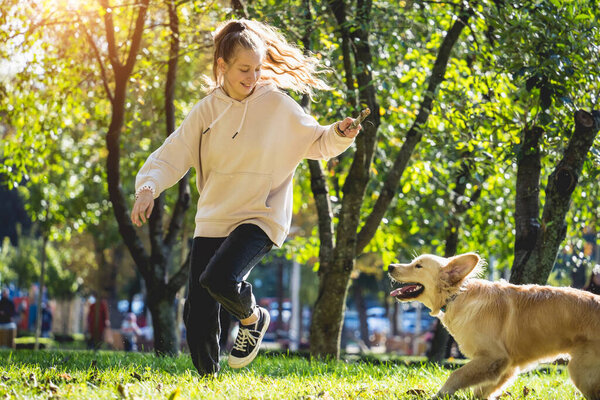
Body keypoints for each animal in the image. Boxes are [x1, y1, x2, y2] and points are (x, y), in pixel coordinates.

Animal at [386, 253, 600, 400]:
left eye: (418, 266)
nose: (390, 266)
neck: (457, 295)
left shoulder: (493, 357)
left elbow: (456, 374)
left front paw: (440, 394)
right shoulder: (507, 366)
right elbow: (483, 389)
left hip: (581, 371)